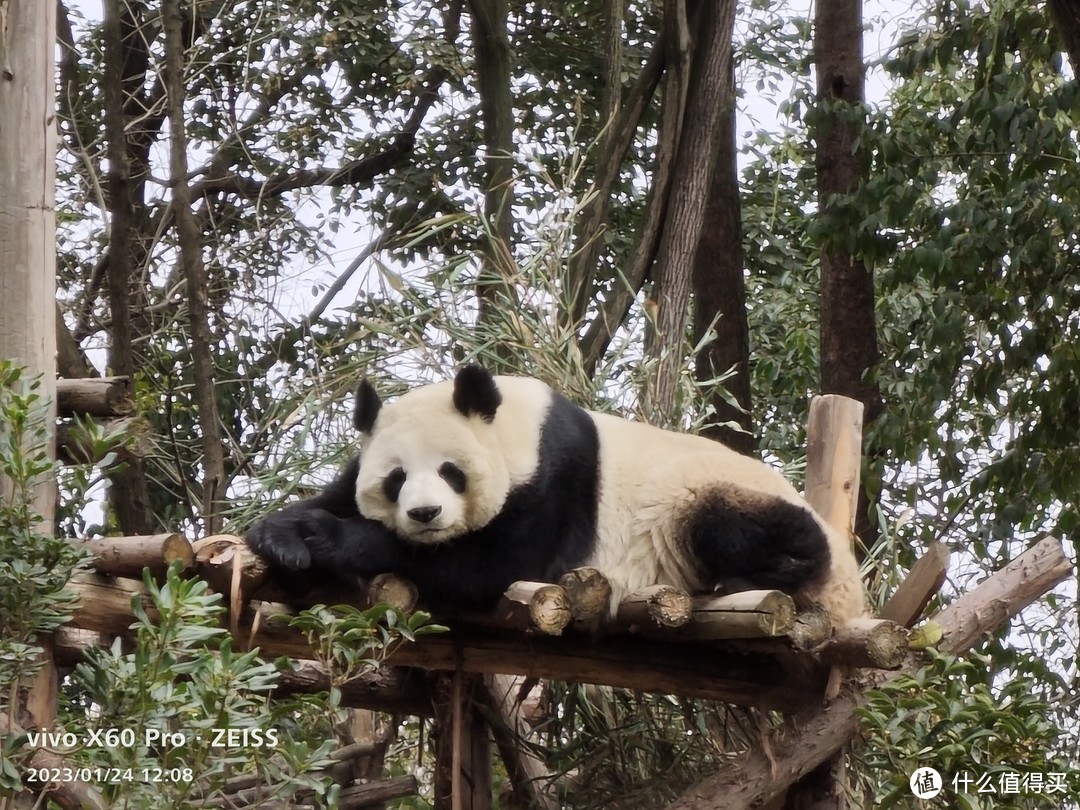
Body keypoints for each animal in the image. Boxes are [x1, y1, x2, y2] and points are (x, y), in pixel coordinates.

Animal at [247, 365, 868, 626]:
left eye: (451, 472)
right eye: (396, 478)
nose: (425, 514)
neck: (515, 425)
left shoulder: (553, 484)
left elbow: (492, 566)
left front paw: (330, 538)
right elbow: (332, 496)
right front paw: (281, 535)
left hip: (708, 491)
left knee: (733, 523)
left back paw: (740, 579)